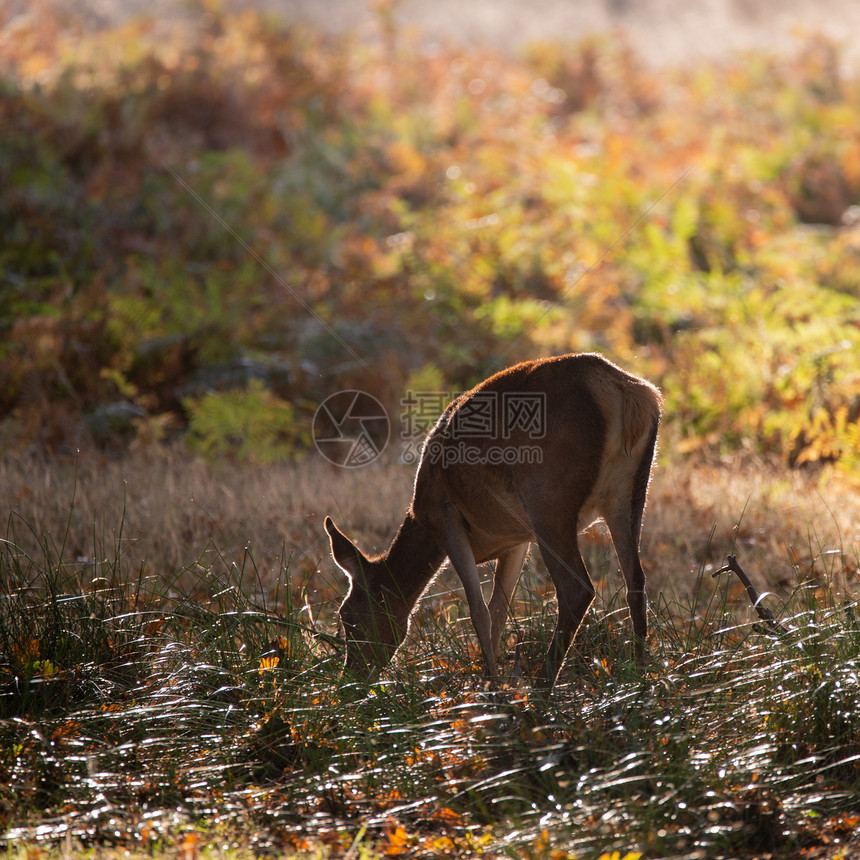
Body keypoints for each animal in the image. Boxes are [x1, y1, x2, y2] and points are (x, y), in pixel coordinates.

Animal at [326, 352, 660, 688]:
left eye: (346, 615)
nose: (350, 679)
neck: (420, 518)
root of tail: (624, 392)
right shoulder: (517, 539)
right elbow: (498, 610)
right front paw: (493, 680)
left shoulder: (445, 517)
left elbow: (478, 610)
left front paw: (491, 688)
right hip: (629, 494)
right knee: (636, 581)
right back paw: (640, 677)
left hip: (548, 501)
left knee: (577, 589)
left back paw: (542, 688)